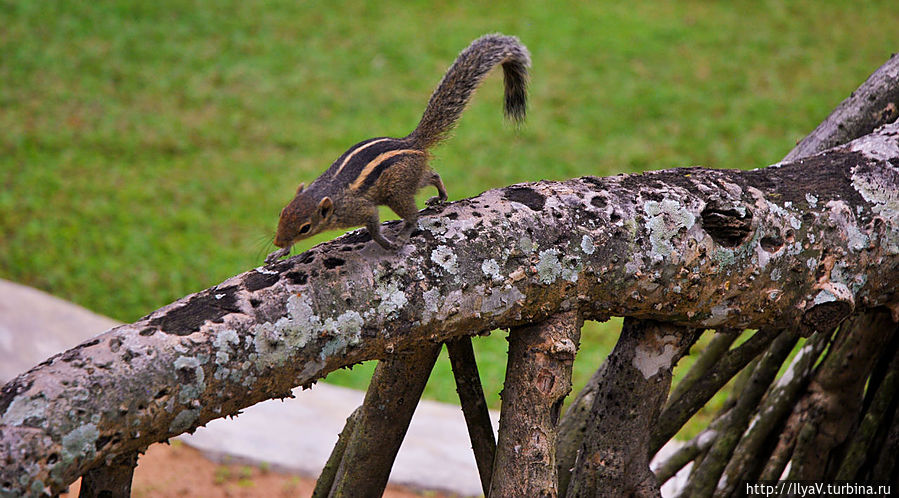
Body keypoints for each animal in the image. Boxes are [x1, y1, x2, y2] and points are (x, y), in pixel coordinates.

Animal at [268, 32, 532, 262]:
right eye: (281, 212)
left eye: (305, 228)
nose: (278, 241)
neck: (327, 193)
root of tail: (411, 142)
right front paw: (280, 253)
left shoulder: (359, 208)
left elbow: (373, 226)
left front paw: (386, 243)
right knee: (433, 175)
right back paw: (440, 197)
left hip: (397, 189)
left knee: (413, 213)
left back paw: (406, 232)